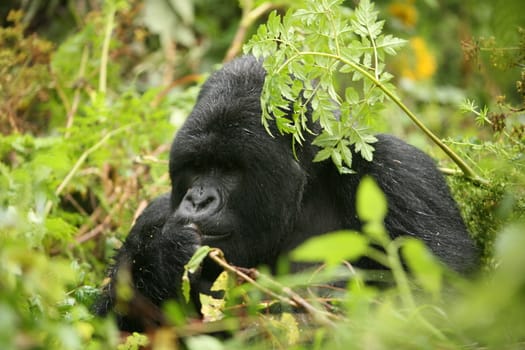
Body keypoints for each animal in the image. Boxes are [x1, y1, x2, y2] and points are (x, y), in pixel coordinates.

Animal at [92, 54, 476, 330]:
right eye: (197, 166)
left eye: (228, 169)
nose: (199, 199)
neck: (305, 192)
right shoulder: (153, 216)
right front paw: (161, 257)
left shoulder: (403, 178)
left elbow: (443, 304)